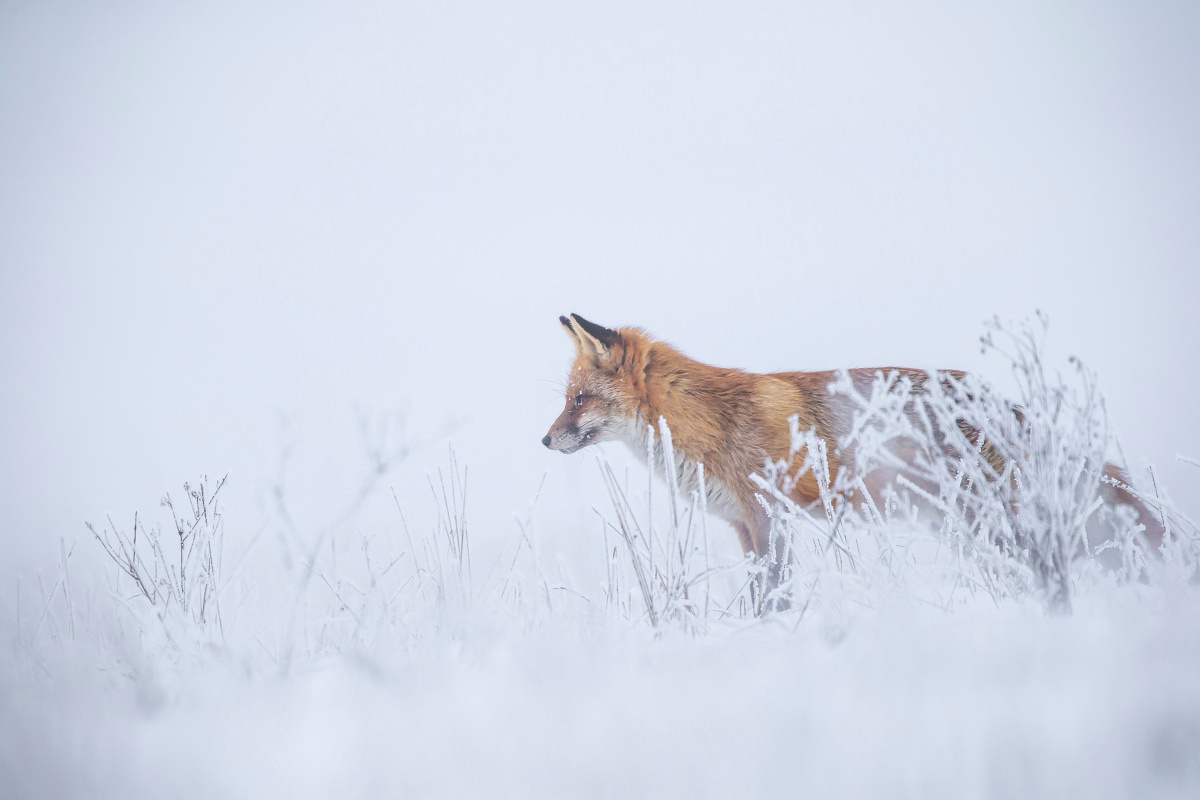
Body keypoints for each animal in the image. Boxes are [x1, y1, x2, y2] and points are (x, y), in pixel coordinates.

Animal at [544, 311, 1161, 568]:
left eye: (579, 401)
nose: (545, 441)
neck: (706, 420)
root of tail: (993, 397)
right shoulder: (743, 525)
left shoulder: (769, 517)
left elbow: (774, 596)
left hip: (982, 520)